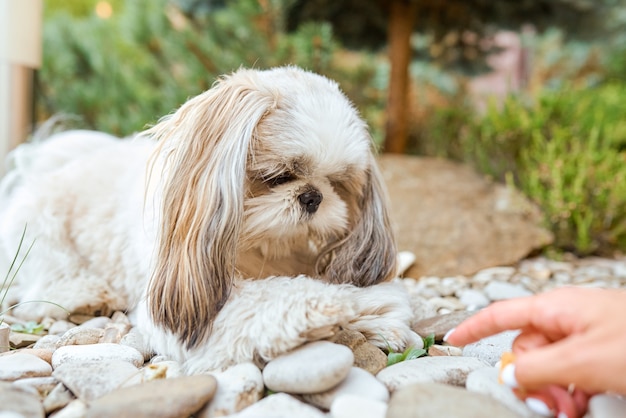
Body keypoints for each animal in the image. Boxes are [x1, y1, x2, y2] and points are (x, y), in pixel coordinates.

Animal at [1, 67, 420, 374]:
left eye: (336, 182)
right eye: (278, 176)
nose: (313, 196)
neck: (257, 246)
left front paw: (377, 313)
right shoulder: (188, 303)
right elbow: (274, 298)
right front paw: (327, 305)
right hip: (41, 232)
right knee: (43, 287)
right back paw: (86, 293)